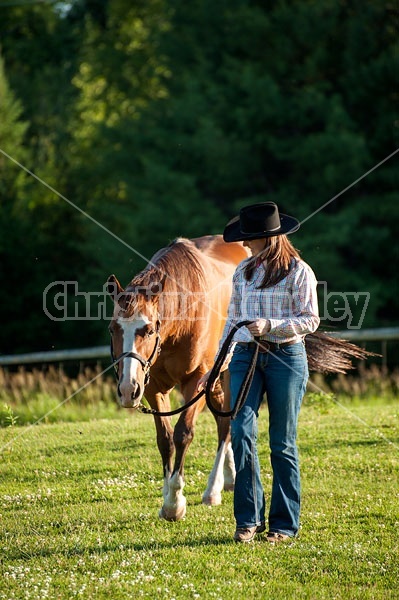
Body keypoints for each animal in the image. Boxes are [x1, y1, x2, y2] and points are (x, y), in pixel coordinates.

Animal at [106, 234, 250, 520]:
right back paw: (229, 479)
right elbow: (165, 439)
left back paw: (213, 489)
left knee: (225, 425)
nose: (127, 390)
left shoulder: (197, 381)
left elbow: (183, 433)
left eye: (149, 330)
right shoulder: (152, 387)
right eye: (112, 329)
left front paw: (174, 502)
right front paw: (166, 497)